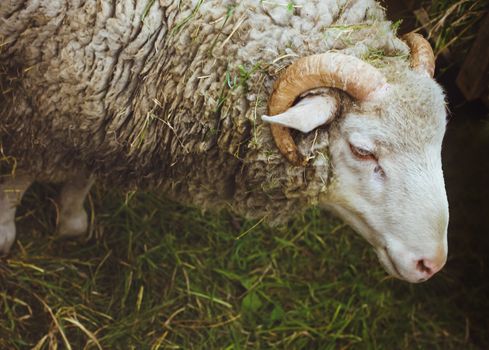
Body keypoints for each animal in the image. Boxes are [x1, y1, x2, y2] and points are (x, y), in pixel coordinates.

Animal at [0, 0, 448, 284]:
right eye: (362, 151)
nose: (432, 263)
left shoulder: (98, 114)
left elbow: (82, 176)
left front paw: (72, 220)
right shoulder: (32, 117)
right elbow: (17, 182)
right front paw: (5, 235)